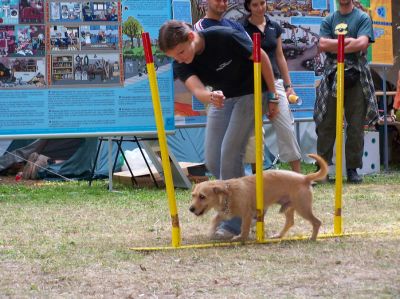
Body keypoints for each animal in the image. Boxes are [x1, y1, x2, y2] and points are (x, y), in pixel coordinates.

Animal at [191, 155, 328, 241]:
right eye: (193, 195)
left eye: (202, 196)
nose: (191, 209)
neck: (229, 193)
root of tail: (305, 178)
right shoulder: (226, 213)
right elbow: (215, 219)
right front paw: (211, 231)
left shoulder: (247, 214)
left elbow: (244, 228)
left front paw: (241, 238)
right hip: (289, 207)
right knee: (290, 222)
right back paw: (279, 235)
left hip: (302, 208)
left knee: (317, 222)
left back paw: (312, 238)